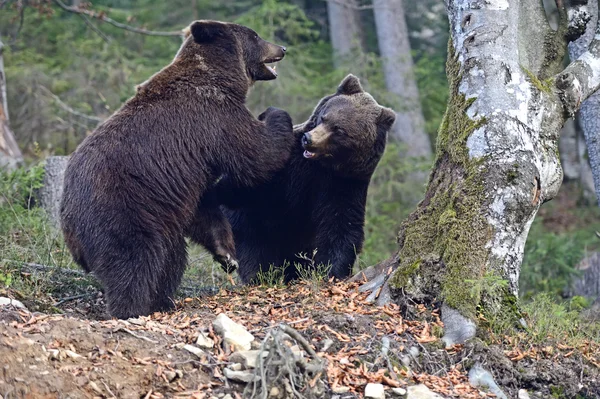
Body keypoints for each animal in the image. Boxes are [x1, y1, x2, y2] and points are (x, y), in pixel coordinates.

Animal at [61, 20, 296, 320]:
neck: (220, 76)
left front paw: (227, 255)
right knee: (134, 261)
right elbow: (257, 154)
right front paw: (276, 114)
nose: (282, 48)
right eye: (255, 36)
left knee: (170, 257)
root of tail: (69, 227)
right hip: (121, 209)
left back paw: (162, 300)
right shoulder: (216, 118)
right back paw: (132, 309)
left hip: (154, 215)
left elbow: (204, 209)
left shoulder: (188, 174)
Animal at [213, 74, 396, 282]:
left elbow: (341, 227)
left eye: (339, 130)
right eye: (324, 117)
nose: (309, 139)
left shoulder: (343, 184)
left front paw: (331, 271)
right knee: (253, 245)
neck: (322, 166)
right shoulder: (287, 167)